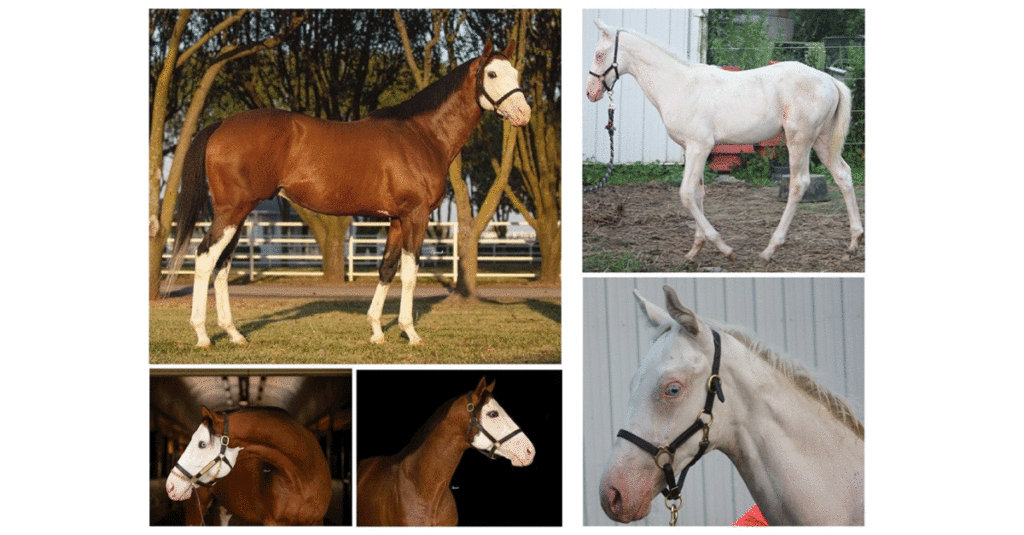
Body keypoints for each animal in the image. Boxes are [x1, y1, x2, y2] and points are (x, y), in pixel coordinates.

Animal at [168, 40, 532, 346]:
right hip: (232, 211)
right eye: (492, 73)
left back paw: (234, 334)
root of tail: (222, 124)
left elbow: (387, 269)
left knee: (223, 265)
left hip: (239, 214)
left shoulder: (396, 219)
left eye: (516, 73)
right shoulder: (416, 216)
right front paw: (411, 333)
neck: (421, 134)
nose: (523, 114)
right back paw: (202, 335)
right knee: (205, 258)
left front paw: (377, 332)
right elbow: (410, 274)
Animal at [585, 20, 864, 262]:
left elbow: (686, 194)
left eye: (599, 54)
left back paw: (770, 249)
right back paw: (853, 244)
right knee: (843, 174)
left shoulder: (699, 146)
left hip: (799, 139)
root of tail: (831, 80)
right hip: (822, 141)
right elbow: (698, 193)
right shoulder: (692, 149)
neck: (678, 85)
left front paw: (724, 248)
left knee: (799, 183)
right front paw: (694, 251)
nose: (590, 92)